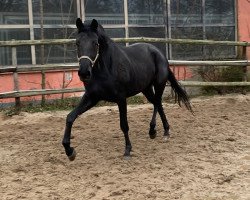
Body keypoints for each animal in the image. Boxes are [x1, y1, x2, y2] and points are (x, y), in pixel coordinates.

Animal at [61, 18, 192, 161]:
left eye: (95, 43)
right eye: (77, 42)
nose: (84, 73)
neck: (105, 68)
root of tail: (159, 53)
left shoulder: (121, 98)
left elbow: (124, 125)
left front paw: (128, 150)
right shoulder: (92, 97)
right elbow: (70, 117)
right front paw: (69, 151)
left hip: (159, 84)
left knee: (157, 103)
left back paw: (155, 131)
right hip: (146, 88)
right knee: (158, 104)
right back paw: (163, 131)